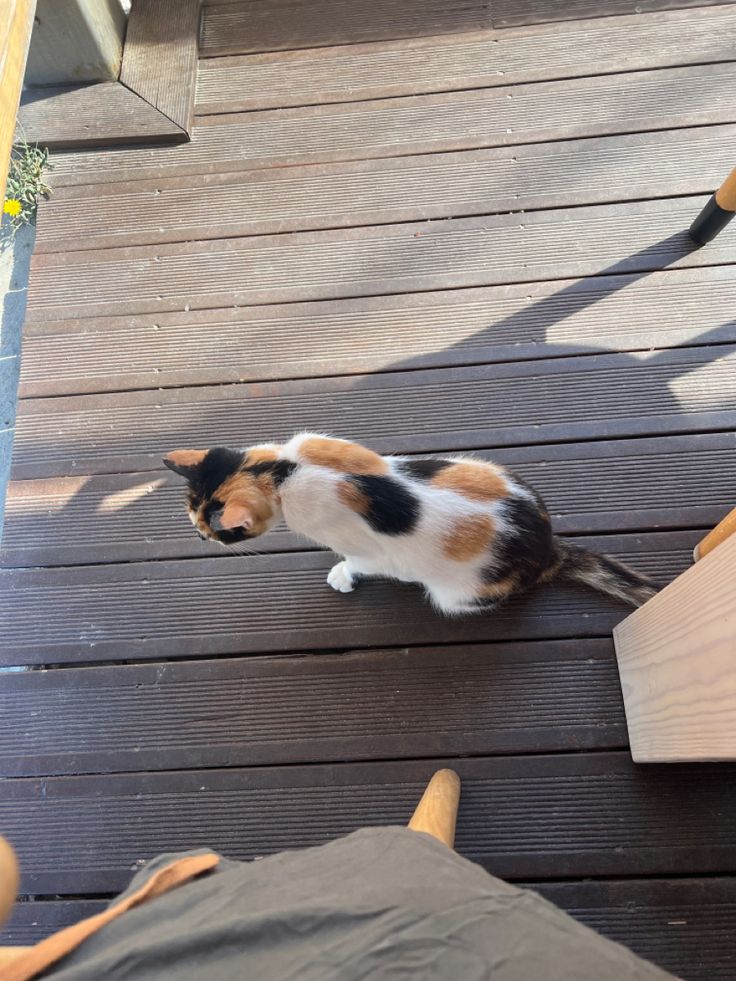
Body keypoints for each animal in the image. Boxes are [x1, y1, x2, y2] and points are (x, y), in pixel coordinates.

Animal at [164, 430, 660, 612]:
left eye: (213, 530)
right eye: (193, 519)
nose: (198, 535)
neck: (282, 470)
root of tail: (547, 549)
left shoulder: (371, 552)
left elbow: (359, 562)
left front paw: (343, 576)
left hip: (456, 595)